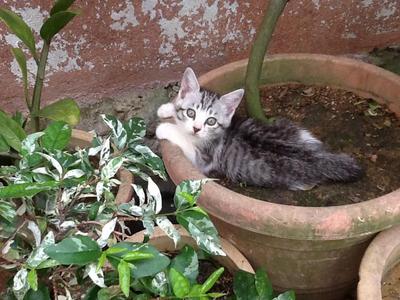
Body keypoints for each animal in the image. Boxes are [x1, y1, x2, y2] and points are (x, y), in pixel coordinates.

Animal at [156, 67, 362, 190]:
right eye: (191, 113)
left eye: (211, 121)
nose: (197, 128)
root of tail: (318, 158)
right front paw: (167, 108)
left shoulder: (204, 160)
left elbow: (184, 140)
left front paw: (165, 127)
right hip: (294, 129)